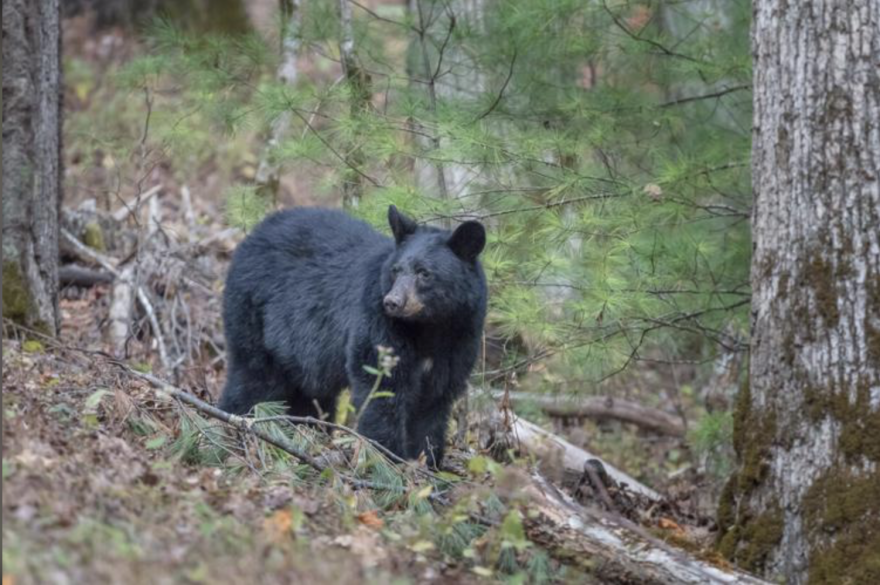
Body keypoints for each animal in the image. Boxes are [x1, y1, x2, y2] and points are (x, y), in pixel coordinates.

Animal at [218, 205, 487, 467]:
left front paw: (426, 461)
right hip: (253, 320)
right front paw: (388, 458)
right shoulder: (378, 323)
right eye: (396, 270)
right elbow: (381, 390)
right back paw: (233, 428)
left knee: (309, 397)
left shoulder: (459, 341)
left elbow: (432, 404)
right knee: (252, 381)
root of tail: (252, 236)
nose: (392, 302)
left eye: (424, 273)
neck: (429, 327)